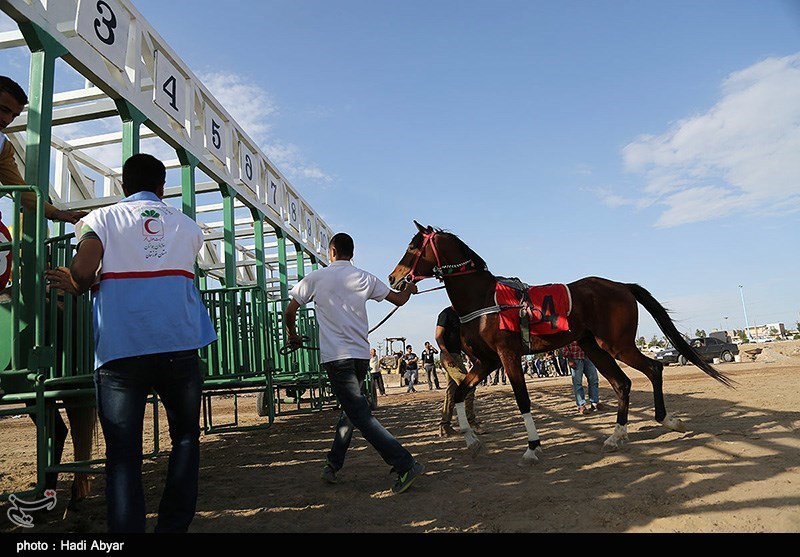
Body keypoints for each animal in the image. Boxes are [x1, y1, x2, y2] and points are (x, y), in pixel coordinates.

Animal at [388, 222, 732, 464]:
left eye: (412, 247)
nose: (393, 278)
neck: (483, 299)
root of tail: (621, 286)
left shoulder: (506, 356)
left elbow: (522, 400)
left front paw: (532, 447)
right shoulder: (486, 361)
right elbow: (461, 392)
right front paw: (471, 441)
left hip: (617, 345)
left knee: (654, 369)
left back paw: (666, 419)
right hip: (595, 347)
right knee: (622, 383)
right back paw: (617, 434)